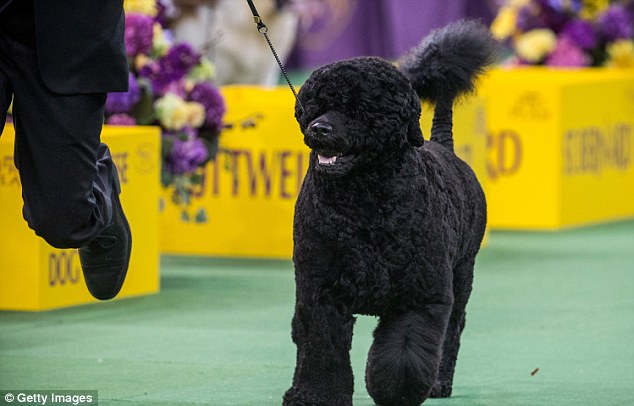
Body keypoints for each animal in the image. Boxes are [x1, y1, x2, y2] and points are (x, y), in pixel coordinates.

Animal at [284, 20, 496, 404]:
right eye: (315, 105)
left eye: (359, 108)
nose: (319, 128)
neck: (363, 205)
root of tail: (444, 147)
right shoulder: (320, 292)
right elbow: (322, 351)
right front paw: (313, 396)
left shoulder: (420, 297)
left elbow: (404, 353)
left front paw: (396, 391)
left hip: (462, 275)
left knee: (452, 333)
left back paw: (439, 384)